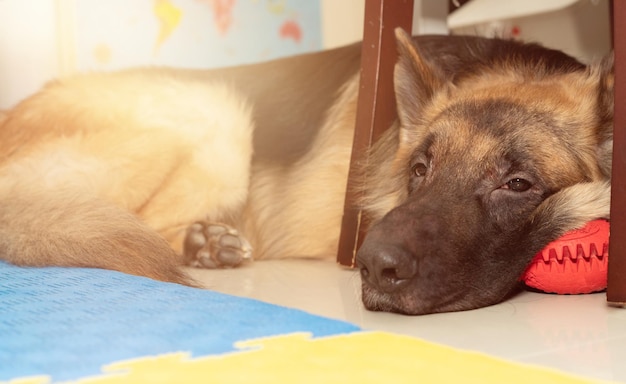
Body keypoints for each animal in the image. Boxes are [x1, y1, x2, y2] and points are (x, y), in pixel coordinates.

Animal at [0, 30, 608, 316]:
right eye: (420, 170)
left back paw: (206, 244)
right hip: (219, 111)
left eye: (518, 184)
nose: (372, 266)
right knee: (127, 222)